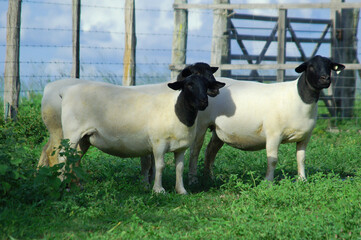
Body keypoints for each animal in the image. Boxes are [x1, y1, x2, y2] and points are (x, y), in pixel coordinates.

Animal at [57, 76, 224, 194]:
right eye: (189, 85)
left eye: (207, 85)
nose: (203, 102)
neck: (177, 112)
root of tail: (66, 91)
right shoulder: (158, 143)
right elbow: (160, 166)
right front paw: (158, 190)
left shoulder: (181, 147)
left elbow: (179, 168)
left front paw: (181, 190)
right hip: (72, 132)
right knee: (63, 157)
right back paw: (62, 186)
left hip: (85, 137)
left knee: (74, 159)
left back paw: (77, 186)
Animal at [187, 55, 344, 184]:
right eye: (310, 66)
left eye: (330, 65)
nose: (325, 78)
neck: (300, 99)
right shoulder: (274, 134)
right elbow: (272, 160)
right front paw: (268, 182)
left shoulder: (305, 137)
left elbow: (301, 158)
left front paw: (302, 180)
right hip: (200, 125)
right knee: (195, 151)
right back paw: (193, 179)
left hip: (219, 130)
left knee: (210, 151)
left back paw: (209, 177)